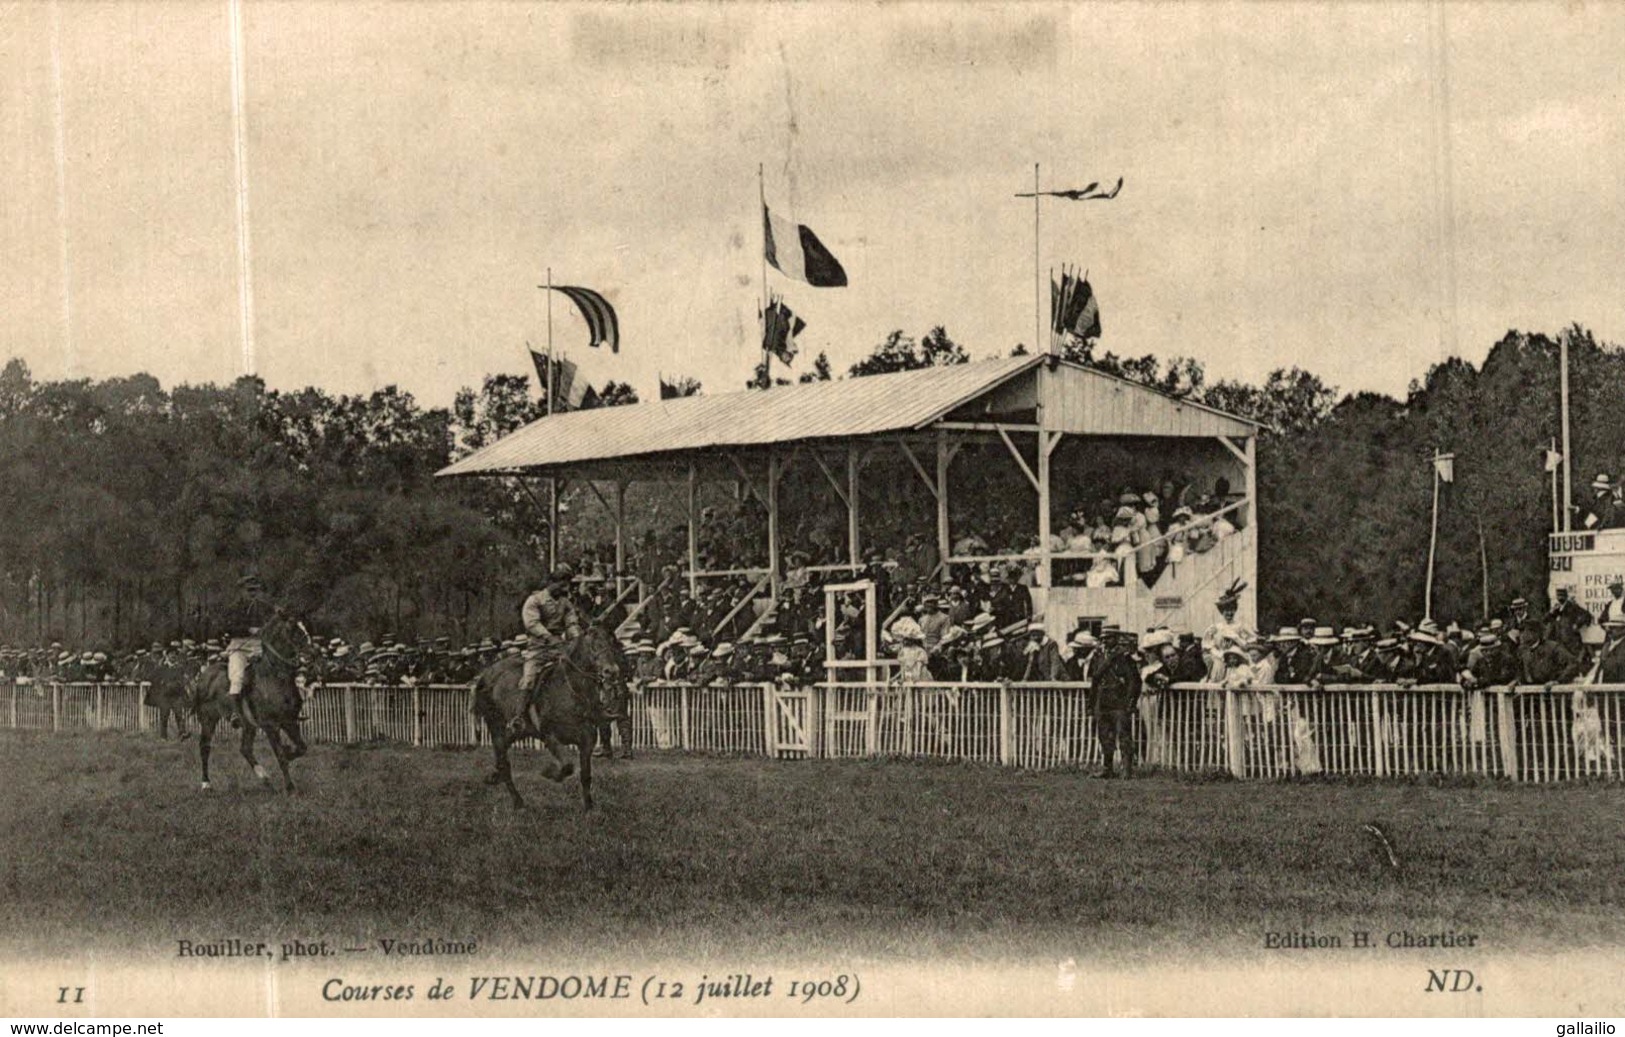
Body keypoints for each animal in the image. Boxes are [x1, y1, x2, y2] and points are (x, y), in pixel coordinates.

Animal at [190, 617, 320, 796]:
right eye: (294, 631)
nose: (312, 654)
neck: (274, 677)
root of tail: (204, 674)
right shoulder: (271, 726)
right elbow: (280, 756)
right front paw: (290, 788)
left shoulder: (289, 721)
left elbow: (301, 748)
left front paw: (289, 751)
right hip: (208, 718)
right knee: (205, 747)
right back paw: (206, 784)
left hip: (248, 725)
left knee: (245, 749)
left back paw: (265, 778)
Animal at [474, 624, 624, 812]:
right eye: (594, 644)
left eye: (612, 643)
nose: (612, 671)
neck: (571, 689)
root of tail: (486, 674)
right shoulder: (550, 736)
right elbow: (567, 767)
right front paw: (549, 773)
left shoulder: (587, 739)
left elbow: (585, 775)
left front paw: (589, 807)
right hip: (497, 730)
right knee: (505, 766)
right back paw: (518, 802)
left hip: (511, 734)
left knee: (502, 764)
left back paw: (495, 777)